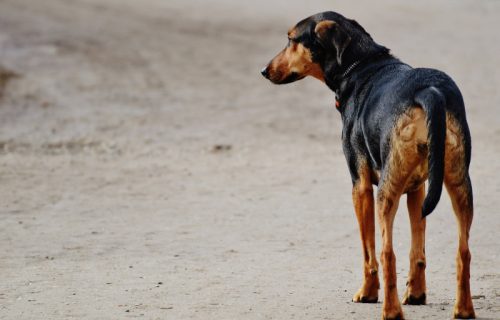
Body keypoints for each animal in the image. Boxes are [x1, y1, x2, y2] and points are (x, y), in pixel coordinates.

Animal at [262, 11, 476, 318]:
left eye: (291, 39)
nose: (264, 71)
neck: (361, 65)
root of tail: (430, 92)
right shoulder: (417, 189)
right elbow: (417, 249)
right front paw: (416, 294)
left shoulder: (360, 186)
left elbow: (368, 250)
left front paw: (368, 293)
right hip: (459, 183)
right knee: (463, 251)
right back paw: (463, 309)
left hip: (386, 192)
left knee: (387, 253)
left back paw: (391, 310)